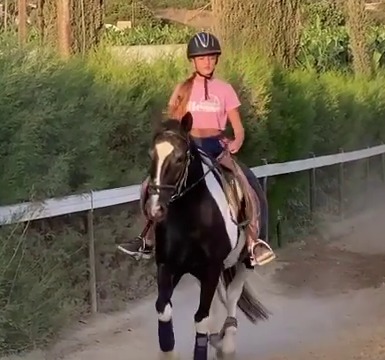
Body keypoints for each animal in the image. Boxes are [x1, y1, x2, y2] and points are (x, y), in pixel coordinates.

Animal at [145, 112, 270, 358]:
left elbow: (201, 318)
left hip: (244, 262)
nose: (155, 209)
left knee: (231, 296)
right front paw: (168, 351)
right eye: (152, 154)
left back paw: (226, 343)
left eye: (180, 158)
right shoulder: (168, 265)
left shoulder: (211, 268)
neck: (191, 217)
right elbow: (163, 309)